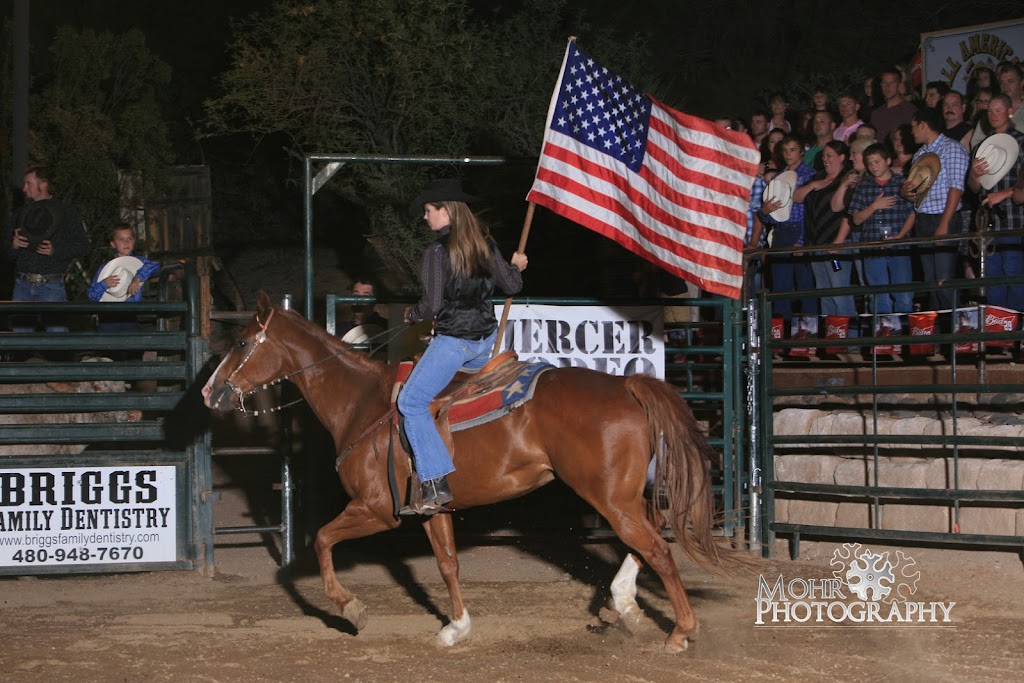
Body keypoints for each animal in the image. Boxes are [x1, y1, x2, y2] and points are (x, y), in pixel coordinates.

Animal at [203, 290, 724, 655]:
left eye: (242, 342)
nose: (210, 392)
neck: (361, 401)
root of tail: (627, 386)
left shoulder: (375, 509)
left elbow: (324, 540)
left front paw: (352, 609)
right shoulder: (433, 508)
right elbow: (447, 563)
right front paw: (456, 627)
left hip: (609, 496)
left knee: (656, 547)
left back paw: (679, 631)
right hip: (622, 495)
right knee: (651, 535)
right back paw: (624, 608)